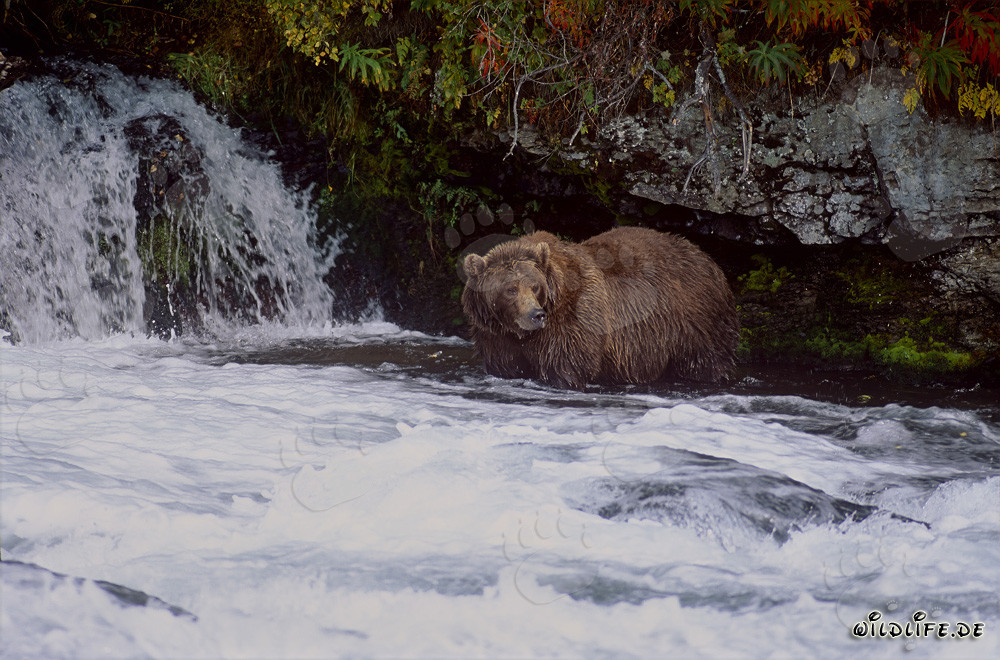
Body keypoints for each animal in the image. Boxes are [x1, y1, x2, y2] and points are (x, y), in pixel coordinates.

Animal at [461, 227, 739, 390]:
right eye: (510, 289)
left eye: (535, 286)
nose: (535, 315)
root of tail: (710, 260)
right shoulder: (497, 338)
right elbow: (505, 366)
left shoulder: (578, 319)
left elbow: (567, 366)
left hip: (696, 323)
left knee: (705, 362)